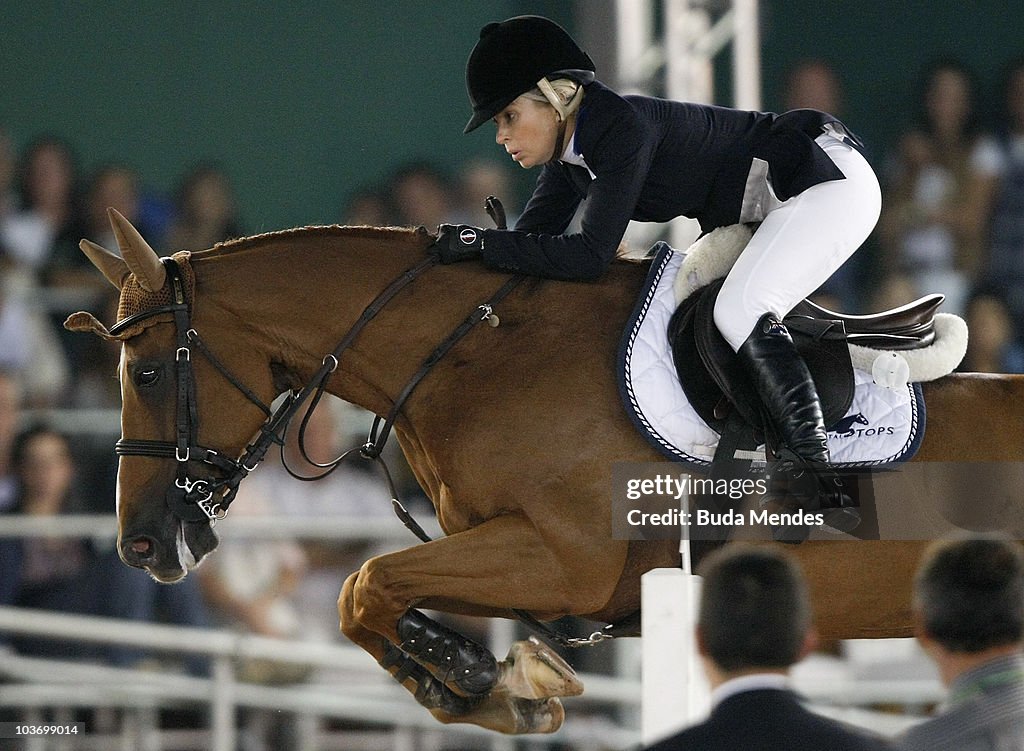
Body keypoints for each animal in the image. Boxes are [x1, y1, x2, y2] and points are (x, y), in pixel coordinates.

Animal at [68, 209, 1024, 733]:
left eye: (145, 373)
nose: (141, 544)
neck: (474, 356)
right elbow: (362, 594)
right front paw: (479, 679)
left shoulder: (563, 560)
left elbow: (367, 580)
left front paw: (479, 675)